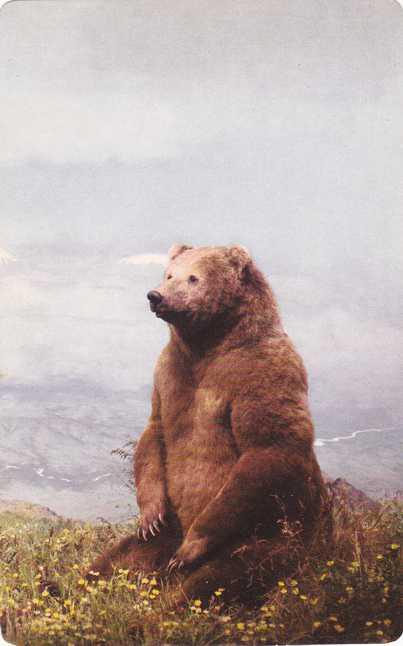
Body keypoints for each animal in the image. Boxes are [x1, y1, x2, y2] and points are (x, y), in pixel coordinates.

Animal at [91, 247, 332, 608]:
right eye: (169, 273)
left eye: (193, 277)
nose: (156, 295)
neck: (207, 345)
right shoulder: (169, 371)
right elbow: (154, 432)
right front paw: (150, 517)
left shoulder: (259, 371)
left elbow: (267, 448)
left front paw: (190, 548)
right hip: (168, 533)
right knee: (117, 559)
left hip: (275, 534)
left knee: (223, 574)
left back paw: (170, 597)